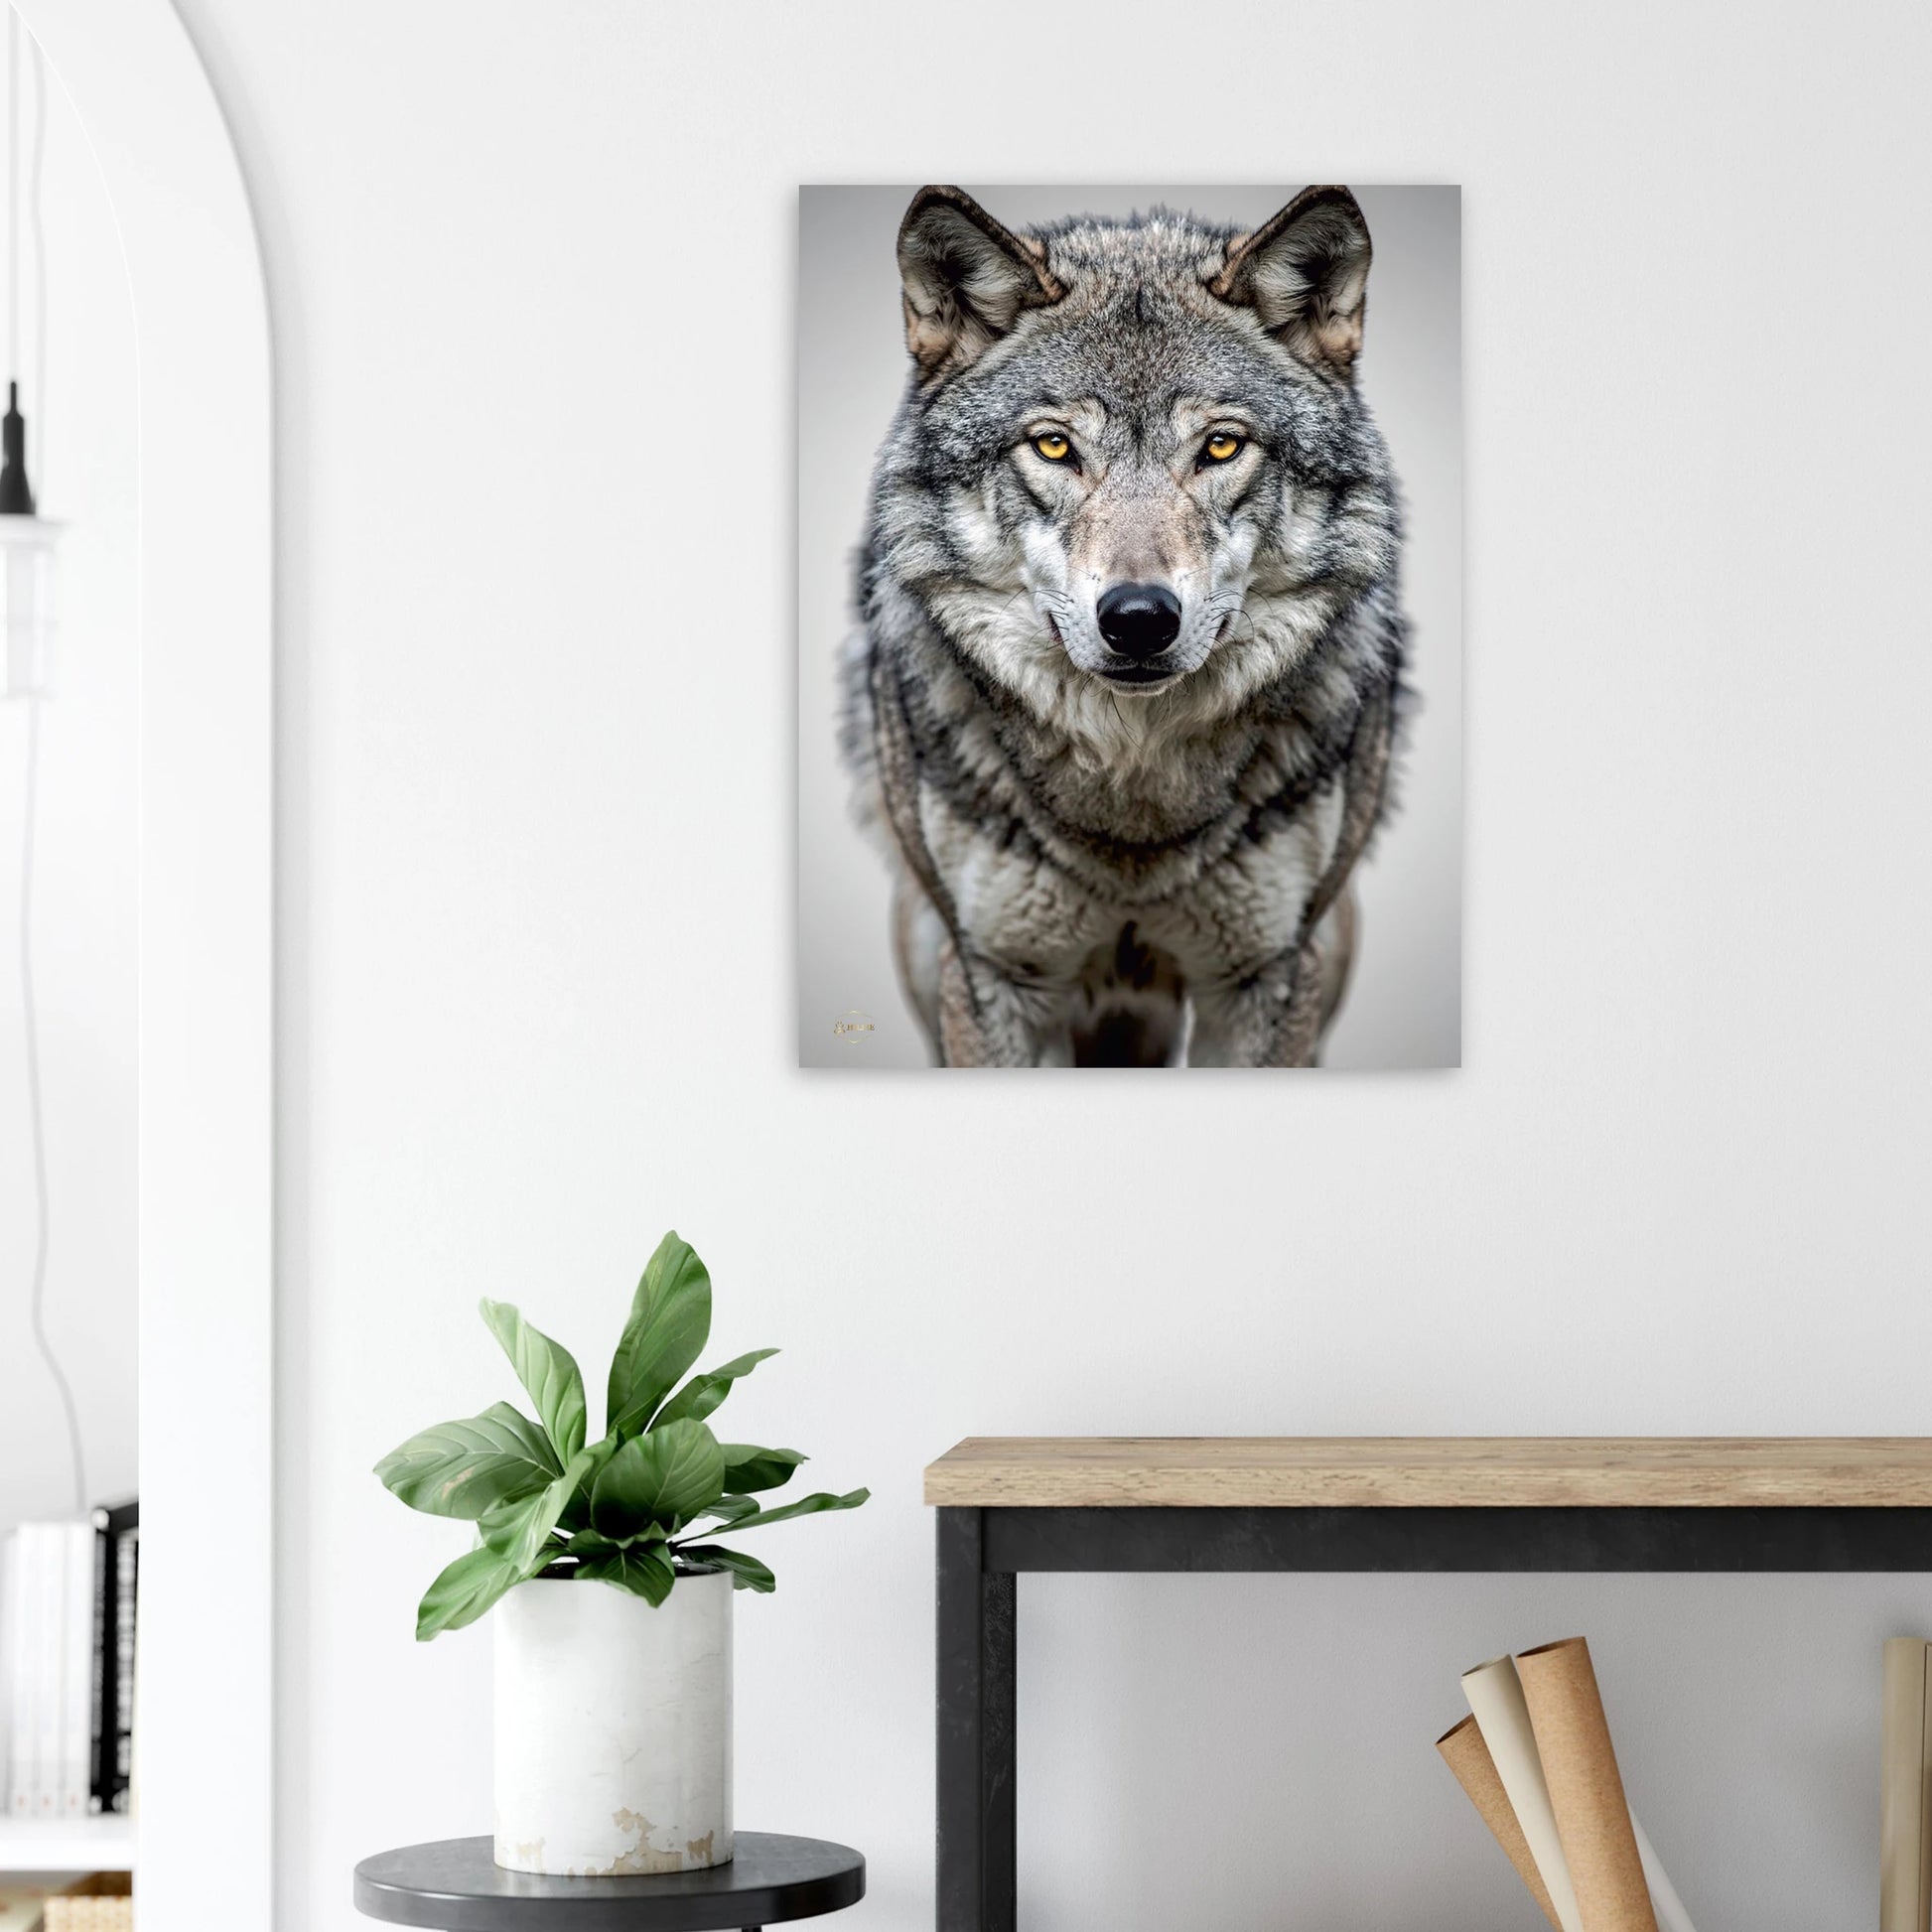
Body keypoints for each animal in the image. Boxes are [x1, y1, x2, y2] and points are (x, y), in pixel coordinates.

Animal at [840, 184, 1406, 1067]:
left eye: (1220, 446)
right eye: (1053, 446)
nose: (1139, 620)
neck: (1134, 802)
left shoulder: (1266, 977)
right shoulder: (994, 975)